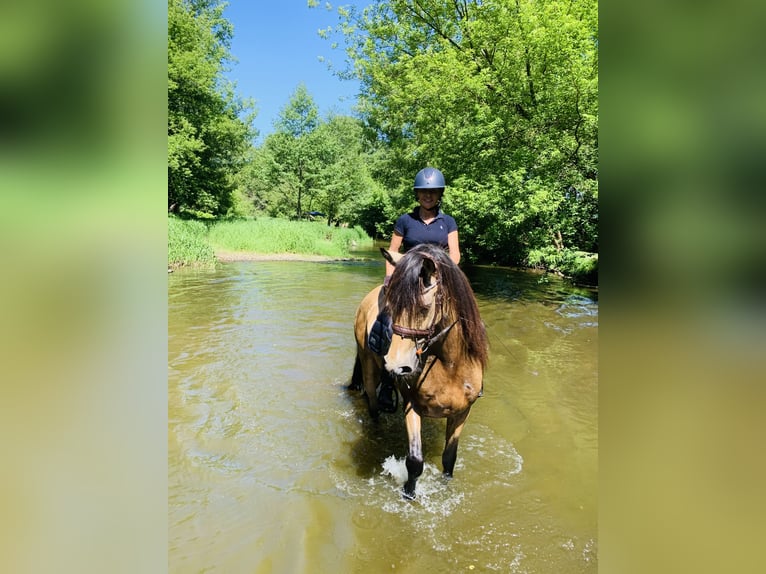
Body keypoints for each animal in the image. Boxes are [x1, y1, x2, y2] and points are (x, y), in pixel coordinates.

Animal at [352, 243, 488, 500]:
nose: (397, 366)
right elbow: (414, 461)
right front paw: (409, 495)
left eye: (424, 308)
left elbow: (449, 457)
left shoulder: (462, 412)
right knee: (373, 407)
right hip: (368, 368)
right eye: (390, 307)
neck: (449, 365)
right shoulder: (412, 405)